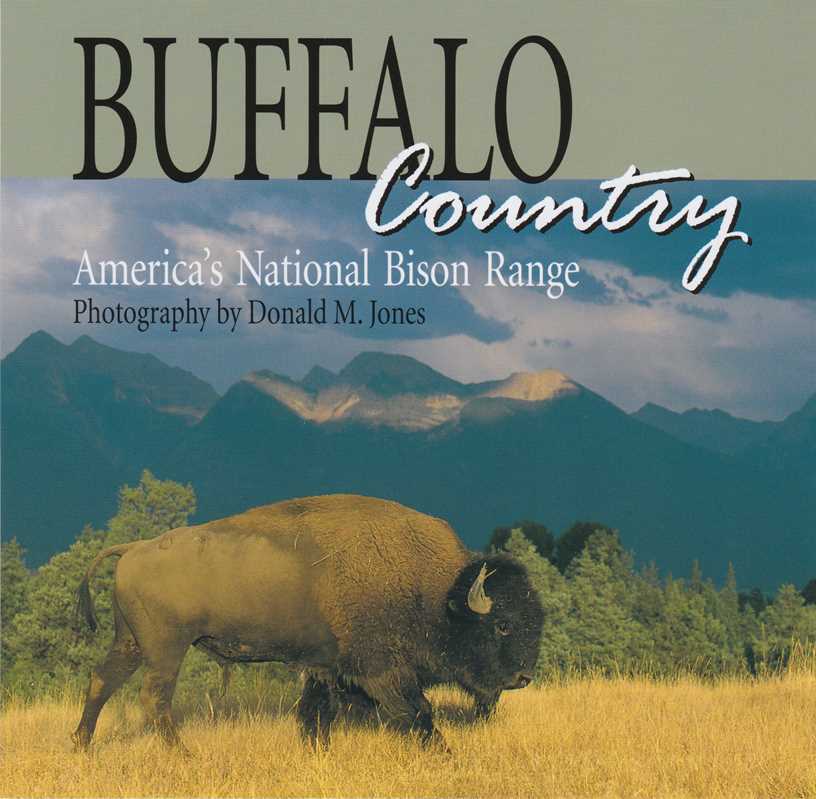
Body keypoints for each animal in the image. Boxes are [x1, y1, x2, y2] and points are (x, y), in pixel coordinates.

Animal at [72, 494, 543, 750]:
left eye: (535, 620)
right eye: (502, 624)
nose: (522, 677)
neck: (436, 590)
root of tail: (134, 547)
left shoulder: (326, 668)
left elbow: (318, 715)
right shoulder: (381, 671)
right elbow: (416, 711)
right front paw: (444, 753)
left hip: (131, 642)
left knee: (101, 681)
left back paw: (81, 746)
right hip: (166, 649)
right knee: (153, 698)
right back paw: (183, 755)